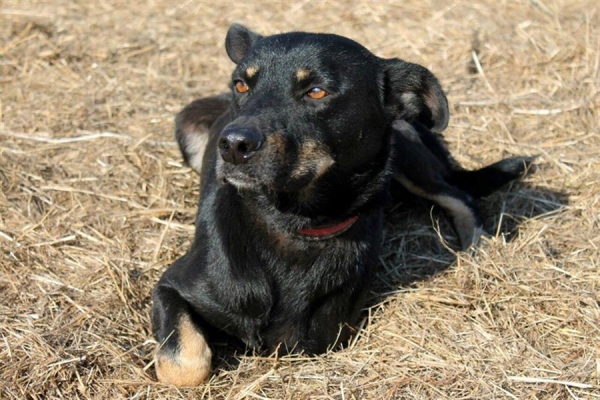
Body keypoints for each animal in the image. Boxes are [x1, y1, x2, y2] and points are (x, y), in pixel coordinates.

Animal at [150, 23, 528, 386]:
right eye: (241, 85)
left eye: (317, 91)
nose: (232, 145)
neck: (293, 223)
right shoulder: (170, 287)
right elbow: (184, 366)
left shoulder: (325, 335)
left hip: (408, 156)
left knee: (459, 195)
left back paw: (478, 247)